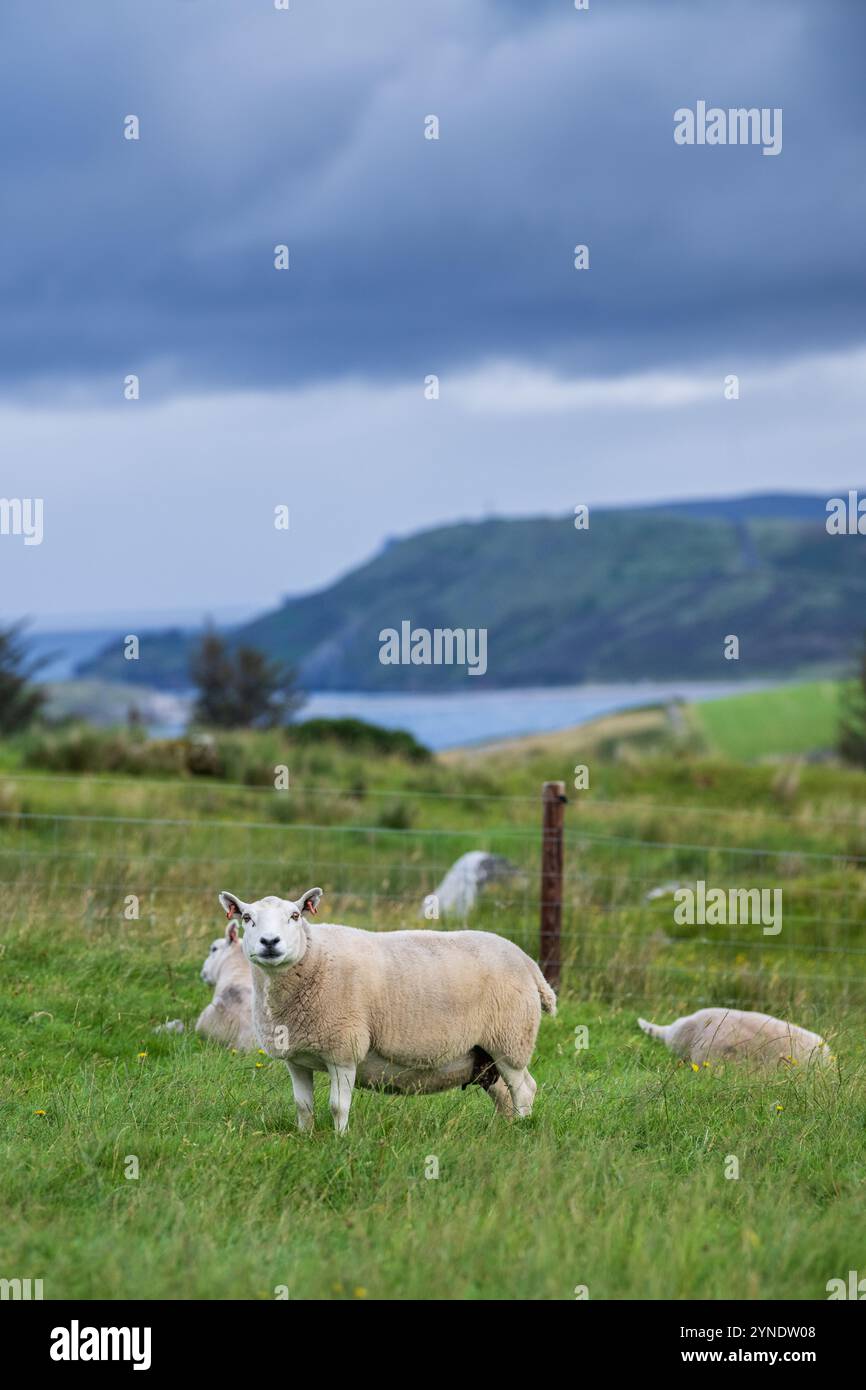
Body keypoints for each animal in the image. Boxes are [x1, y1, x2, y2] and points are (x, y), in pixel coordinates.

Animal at [216, 884, 556, 1134]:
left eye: (295, 915)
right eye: (247, 918)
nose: (269, 942)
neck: (314, 958)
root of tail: (528, 962)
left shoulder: (344, 1049)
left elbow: (338, 1106)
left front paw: (340, 1141)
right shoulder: (297, 1058)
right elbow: (303, 1106)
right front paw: (305, 1137)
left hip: (509, 1040)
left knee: (524, 1089)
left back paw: (521, 1130)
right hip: (484, 1056)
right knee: (504, 1095)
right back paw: (501, 1131)